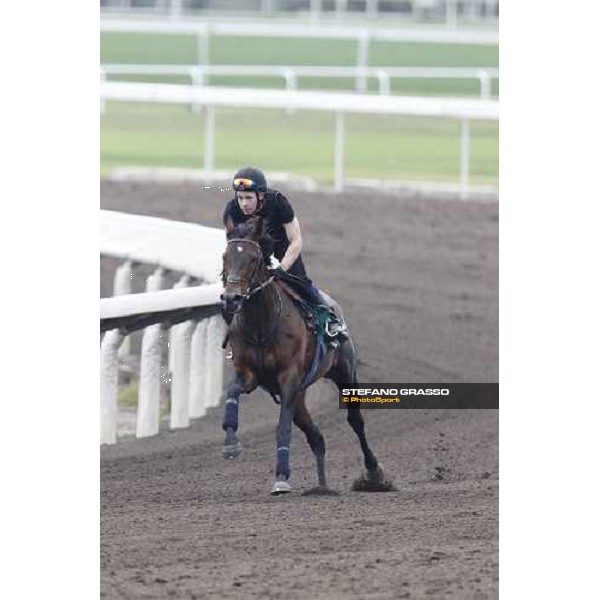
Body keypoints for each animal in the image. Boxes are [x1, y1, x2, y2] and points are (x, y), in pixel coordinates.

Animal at [218, 218, 392, 494]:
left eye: (254, 258)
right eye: (225, 256)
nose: (231, 298)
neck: (261, 326)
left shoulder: (289, 377)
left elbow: (282, 428)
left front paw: (281, 478)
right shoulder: (250, 374)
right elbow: (232, 392)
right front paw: (231, 444)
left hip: (344, 372)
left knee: (355, 421)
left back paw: (373, 473)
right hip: (299, 396)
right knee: (317, 437)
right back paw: (321, 486)